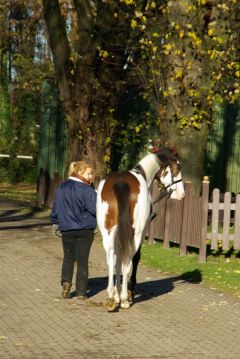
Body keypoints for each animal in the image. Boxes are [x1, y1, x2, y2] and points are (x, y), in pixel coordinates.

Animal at [96, 148, 185, 310]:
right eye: (177, 167)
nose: (181, 193)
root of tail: (120, 183)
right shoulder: (142, 232)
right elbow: (135, 258)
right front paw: (127, 293)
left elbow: (117, 261)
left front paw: (117, 294)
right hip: (136, 233)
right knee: (128, 260)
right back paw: (125, 298)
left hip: (107, 232)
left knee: (111, 258)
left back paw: (112, 296)